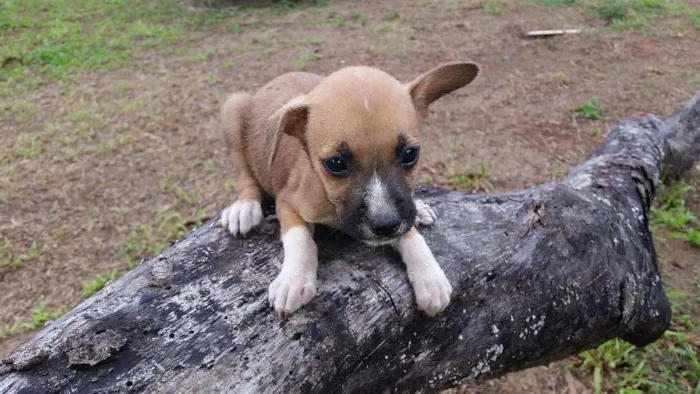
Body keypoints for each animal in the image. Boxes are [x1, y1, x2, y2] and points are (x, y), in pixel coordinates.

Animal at [220, 61, 482, 316]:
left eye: (410, 154)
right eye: (335, 163)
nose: (386, 225)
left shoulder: (401, 214)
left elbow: (410, 233)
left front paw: (430, 276)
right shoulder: (287, 201)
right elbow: (300, 239)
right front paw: (294, 280)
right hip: (233, 111)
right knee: (246, 177)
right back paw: (244, 208)